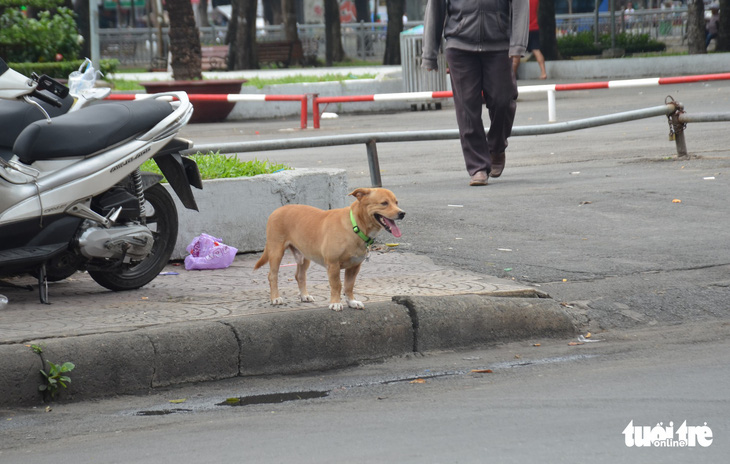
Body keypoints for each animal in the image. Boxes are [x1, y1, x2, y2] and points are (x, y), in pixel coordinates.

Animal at [253, 187, 404, 310]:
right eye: (384, 203)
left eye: (396, 202)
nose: (402, 213)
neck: (355, 226)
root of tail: (277, 210)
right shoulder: (333, 265)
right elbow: (337, 285)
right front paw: (335, 303)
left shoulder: (354, 267)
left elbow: (349, 286)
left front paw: (351, 302)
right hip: (276, 252)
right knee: (272, 276)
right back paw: (275, 298)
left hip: (304, 256)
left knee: (300, 276)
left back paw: (304, 295)